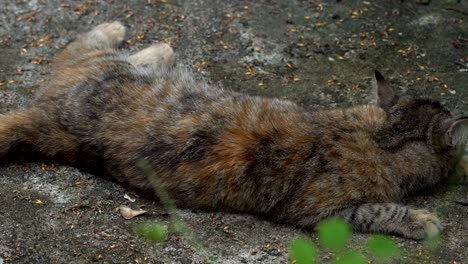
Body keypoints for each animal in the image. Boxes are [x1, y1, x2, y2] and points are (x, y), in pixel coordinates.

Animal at [1, 21, 466, 239]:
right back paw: (128, 35)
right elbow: (380, 211)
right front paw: (421, 220)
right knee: (78, 44)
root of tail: (43, 111)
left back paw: (155, 51)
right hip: (97, 66)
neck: (381, 136)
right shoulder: (322, 212)